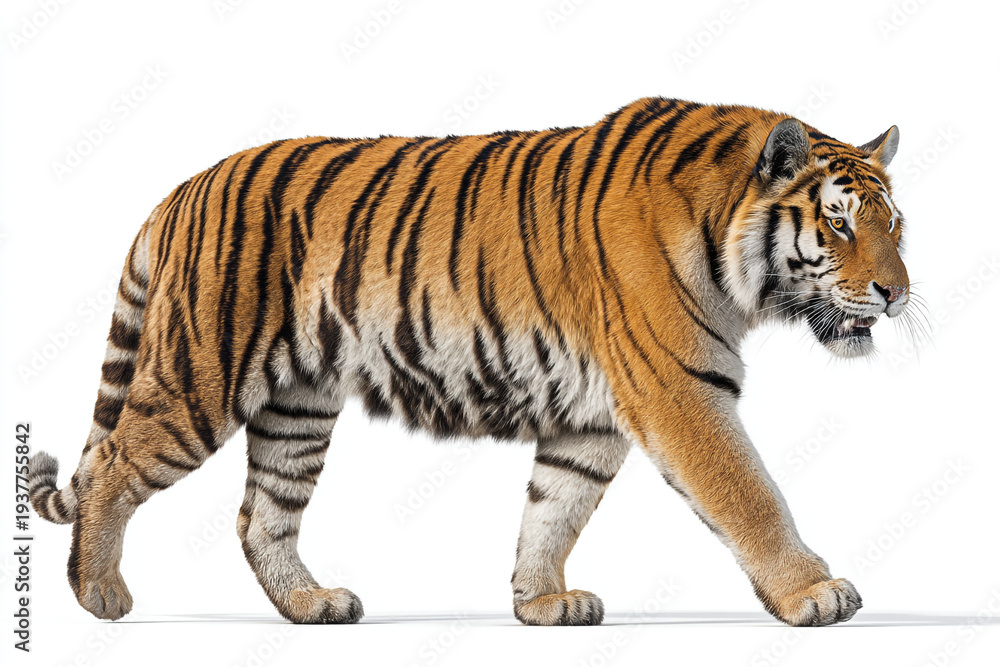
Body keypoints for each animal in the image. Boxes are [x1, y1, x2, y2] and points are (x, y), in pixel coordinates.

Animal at [28, 96, 911, 627]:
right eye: (837, 224)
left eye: (894, 224)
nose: (898, 293)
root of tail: (181, 188)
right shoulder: (681, 390)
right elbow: (751, 494)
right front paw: (815, 591)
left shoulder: (593, 415)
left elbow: (554, 507)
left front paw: (541, 601)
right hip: (197, 378)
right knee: (112, 463)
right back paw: (99, 592)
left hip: (298, 405)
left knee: (260, 515)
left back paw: (313, 604)